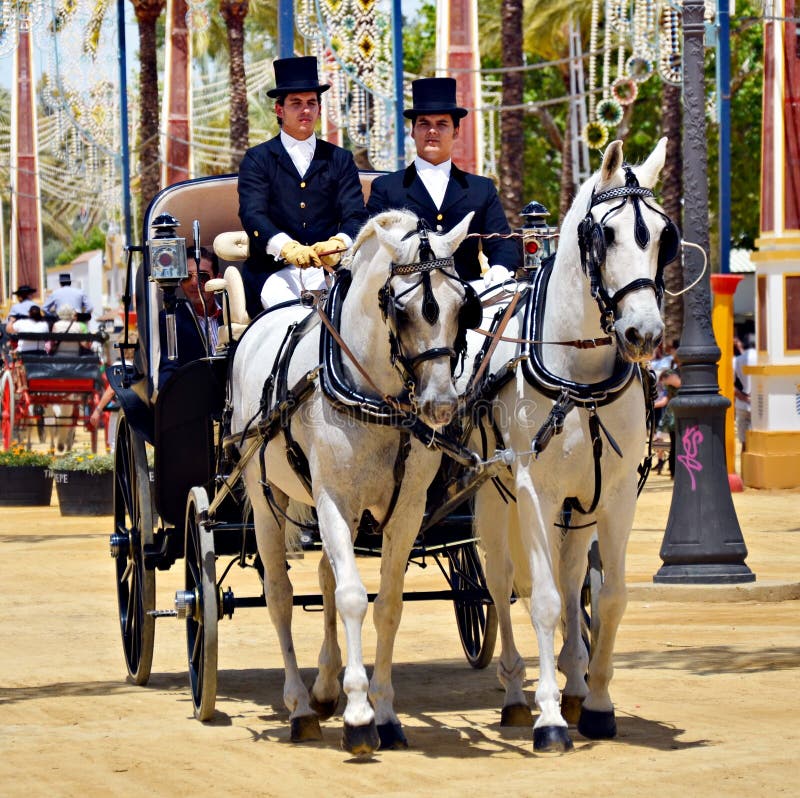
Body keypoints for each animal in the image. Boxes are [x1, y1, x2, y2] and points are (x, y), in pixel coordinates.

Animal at [231, 208, 482, 756]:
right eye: (401, 308)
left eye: (463, 305)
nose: (440, 406)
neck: (375, 395)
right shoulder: (334, 500)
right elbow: (351, 597)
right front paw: (360, 715)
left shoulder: (406, 509)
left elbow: (386, 603)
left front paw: (384, 712)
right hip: (266, 499)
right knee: (280, 595)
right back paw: (301, 706)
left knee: (325, 577)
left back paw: (325, 688)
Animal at [472, 141, 680, 752]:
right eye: (604, 236)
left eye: (665, 236)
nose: (644, 334)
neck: (580, 380)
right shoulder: (533, 492)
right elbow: (539, 599)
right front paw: (548, 719)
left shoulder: (614, 496)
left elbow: (606, 597)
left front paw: (598, 705)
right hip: (495, 495)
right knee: (500, 581)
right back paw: (517, 692)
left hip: (577, 508)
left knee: (569, 580)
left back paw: (574, 680)